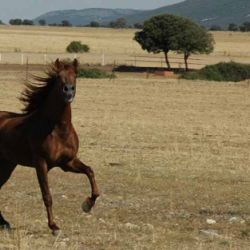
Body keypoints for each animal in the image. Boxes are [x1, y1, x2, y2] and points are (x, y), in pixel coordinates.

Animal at [0, 59, 99, 235]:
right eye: (59, 77)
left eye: (75, 75)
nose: (68, 91)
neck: (58, 129)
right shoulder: (41, 163)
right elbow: (47, 195)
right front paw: (54, 227)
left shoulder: (67, 162)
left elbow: (90, 172)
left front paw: (87, 204)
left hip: (7, 165)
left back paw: (4, 223)